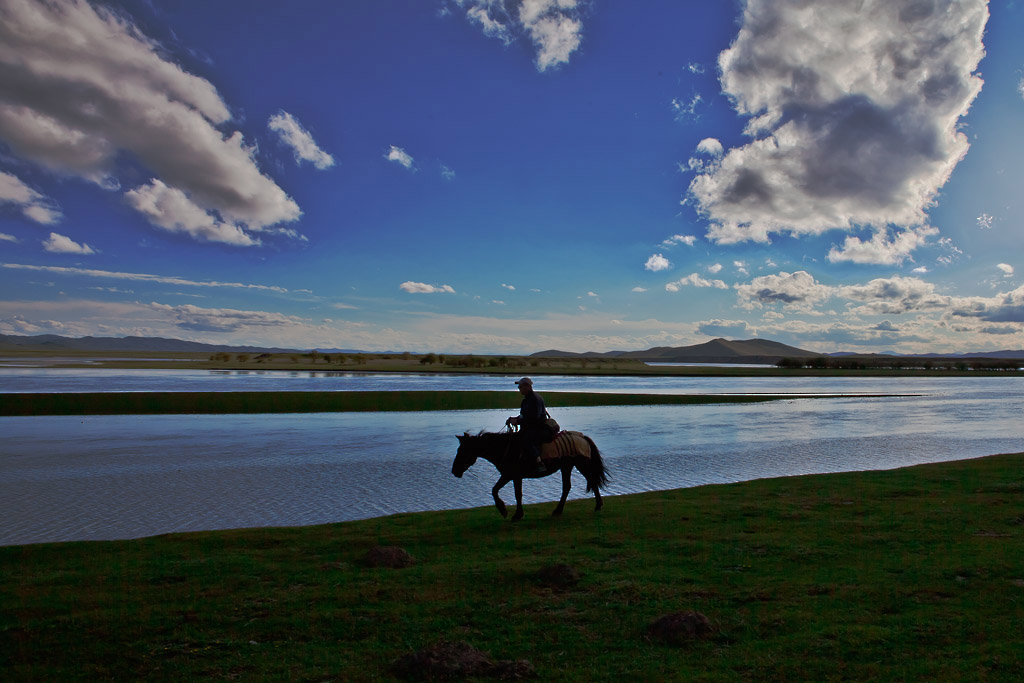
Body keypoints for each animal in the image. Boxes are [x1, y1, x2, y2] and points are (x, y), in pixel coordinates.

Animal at [450, 432, 606, 524]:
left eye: (463, 451)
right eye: (458, 450)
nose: (454, 471)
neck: (504, 447)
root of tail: (582, 437)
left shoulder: (511, 475)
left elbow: (511, 493)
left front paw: (509, 512)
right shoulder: (511, 476)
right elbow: (501, 491)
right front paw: (510, 512)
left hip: (580, 464)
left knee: (591, 481)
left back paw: (597, 505)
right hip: (567, 466)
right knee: (568, 486)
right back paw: (558, 511)